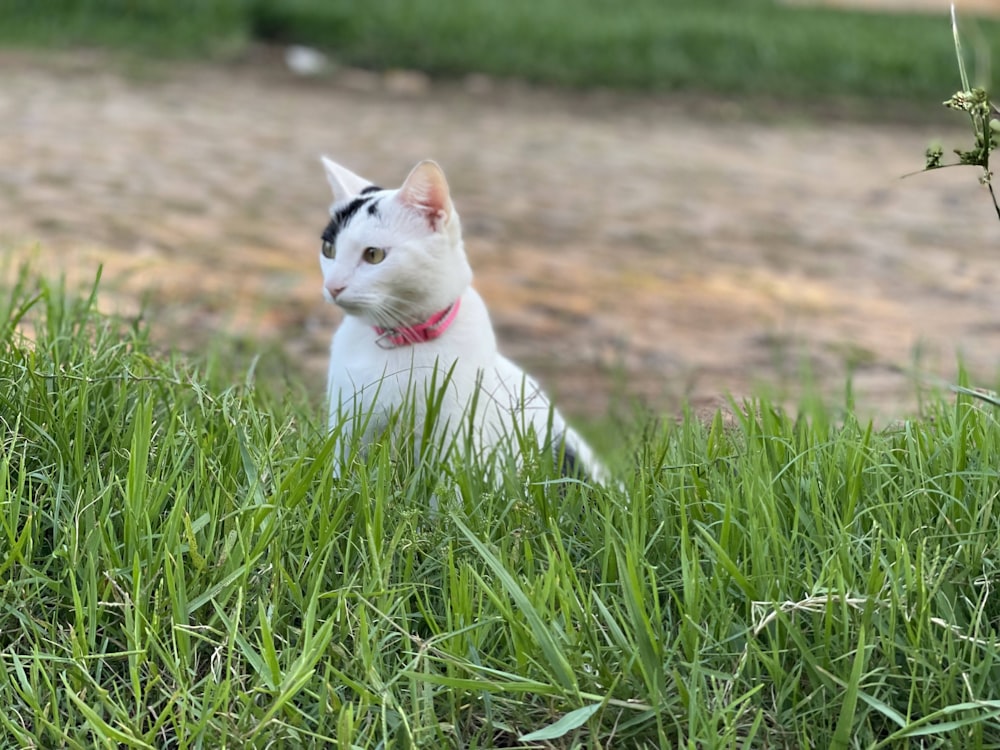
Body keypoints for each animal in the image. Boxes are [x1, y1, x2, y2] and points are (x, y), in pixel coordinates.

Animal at [320, 159, 604, 488]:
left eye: (374, 255)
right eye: (329, 250)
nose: (332, 286)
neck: (402, 341)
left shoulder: (456, 431)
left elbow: (449, 487)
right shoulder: (348, 420)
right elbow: (339, 472)